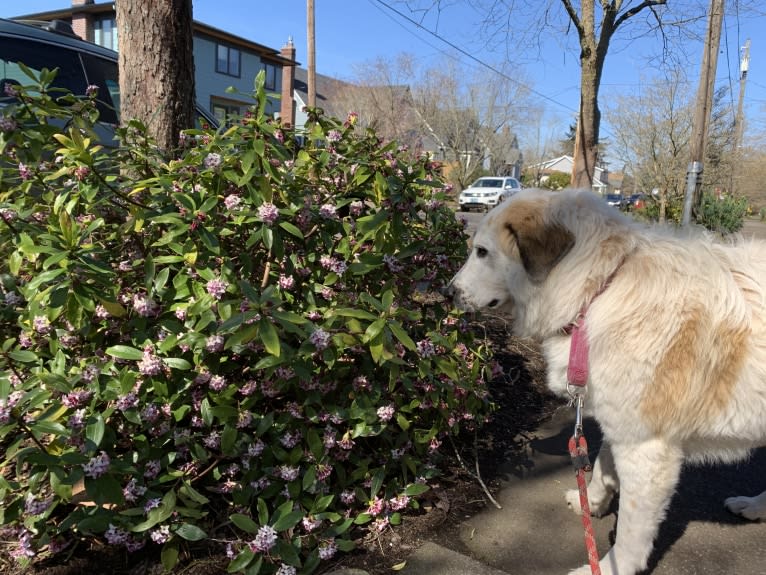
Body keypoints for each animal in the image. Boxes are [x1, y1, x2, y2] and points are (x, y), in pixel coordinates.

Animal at [450, 190, 766, 575]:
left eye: (482, 251)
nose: (448, 291)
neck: (598, 288)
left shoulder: (647, 449)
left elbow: (632, 529)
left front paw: (609, 566)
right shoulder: (621, 425)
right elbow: (601, 463)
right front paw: (592, 501)